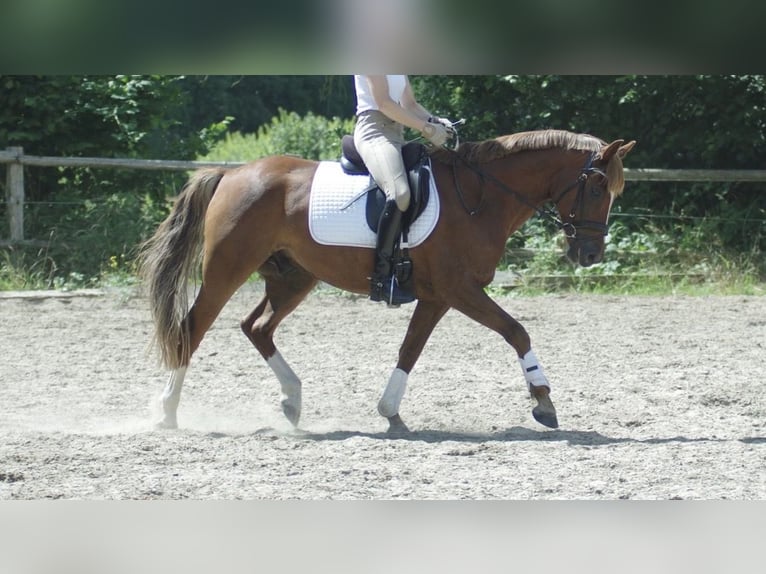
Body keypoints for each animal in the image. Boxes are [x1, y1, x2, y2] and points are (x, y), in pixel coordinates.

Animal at [138, 128, 636, 434]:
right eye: (597, 187)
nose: (591, 255)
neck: (481, 197)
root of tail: (233, 173)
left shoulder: (439, 296)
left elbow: (409, 350)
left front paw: (390, 412)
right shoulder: (460, 290)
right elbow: (517, 330)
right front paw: (543, 401)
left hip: (294, 277)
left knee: (256, 327)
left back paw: (292, 401)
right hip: (227, 268)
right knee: (193, 329)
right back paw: (167, 413)